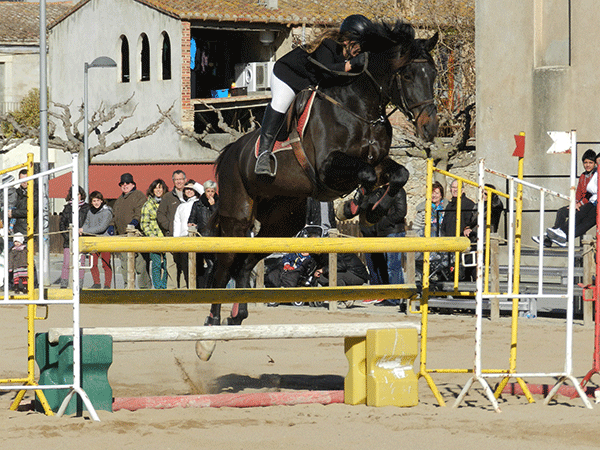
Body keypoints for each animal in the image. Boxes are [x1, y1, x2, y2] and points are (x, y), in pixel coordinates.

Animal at [204, 20, 438, 326]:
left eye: (434, 74)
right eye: (408, 75)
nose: (430, 127)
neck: (359, 108)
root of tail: (229, 152)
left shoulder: (378, 161)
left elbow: (398, 175)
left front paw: (374, 208)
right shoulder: (328, 167)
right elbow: (366, 175)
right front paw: (357, 205)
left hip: (281, 223)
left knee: (244, 263)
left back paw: (237, 315)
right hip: (238, 218)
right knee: (223, 267)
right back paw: (212, 320)